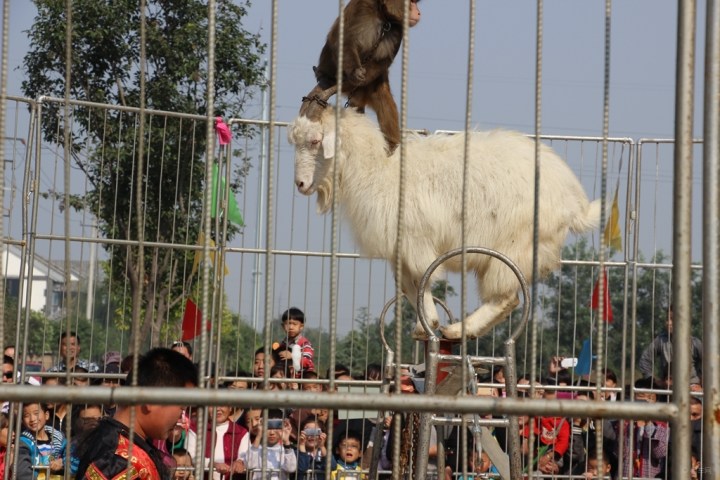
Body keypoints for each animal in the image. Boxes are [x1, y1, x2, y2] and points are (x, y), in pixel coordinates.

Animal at [286, 108, 600, 340]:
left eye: (315, 141)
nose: (300, 184)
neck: (379, 170)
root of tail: (575, 201)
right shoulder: (400, 250)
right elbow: (408, 286)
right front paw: (423, 326)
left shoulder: (416, 241)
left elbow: (421, 279)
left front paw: (430, 324)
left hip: (513, 248)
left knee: (507, 298)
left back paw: (458, 330)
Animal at [300, 0, 422, 154]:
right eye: (412, 2)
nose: (418, 12)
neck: (384, 17)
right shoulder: (362, 9)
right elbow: (343, 40)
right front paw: (355, 73)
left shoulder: (398, 29)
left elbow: (381, 61)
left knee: (382, 95)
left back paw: (392, 146)